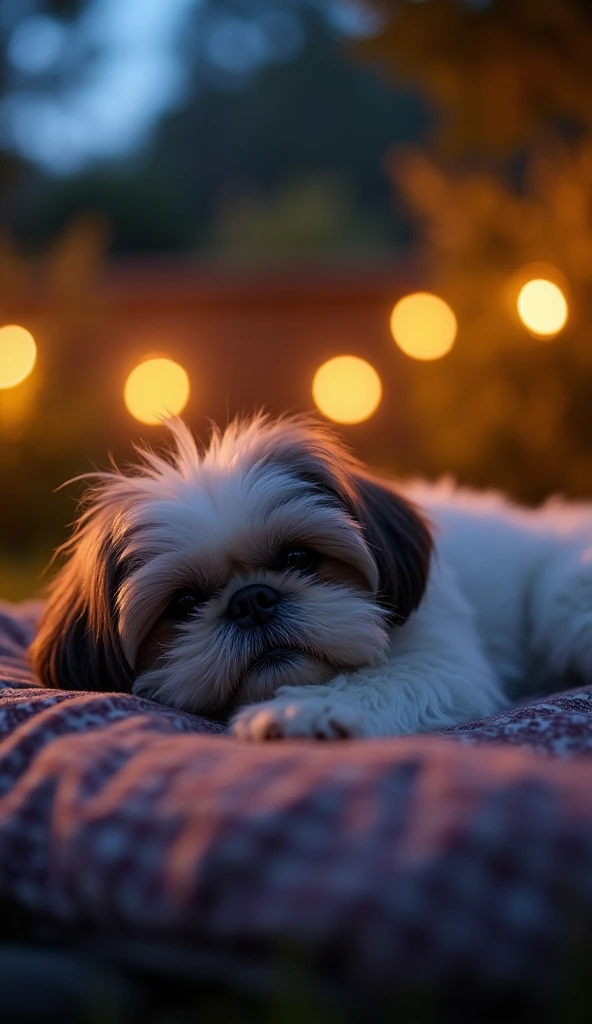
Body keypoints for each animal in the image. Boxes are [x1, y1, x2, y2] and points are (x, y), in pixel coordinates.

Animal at [29, 413, 589, 737]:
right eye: (183, 605)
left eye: (299, 558)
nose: (252, 600)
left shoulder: (441, 658)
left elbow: (376, 680)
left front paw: (301, 712)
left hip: (564, 602)